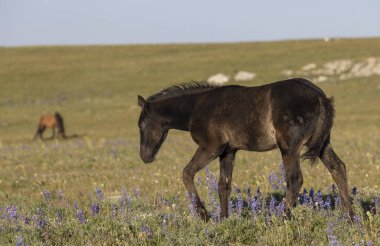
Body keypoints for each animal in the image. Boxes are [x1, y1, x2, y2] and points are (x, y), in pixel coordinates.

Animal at [138, 78, 354, 221]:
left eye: (141, 124)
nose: (145, 156)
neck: (196, 108)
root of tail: (320, 97)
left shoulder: (210, 148)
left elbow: (187, 173)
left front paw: (204, 214)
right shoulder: (228, 151)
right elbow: (223, 185)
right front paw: (224, 219)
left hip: (289, 148)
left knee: (295, 179)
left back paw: (282, 219)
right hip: (322, 144)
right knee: (338, 168)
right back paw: (349, 217)